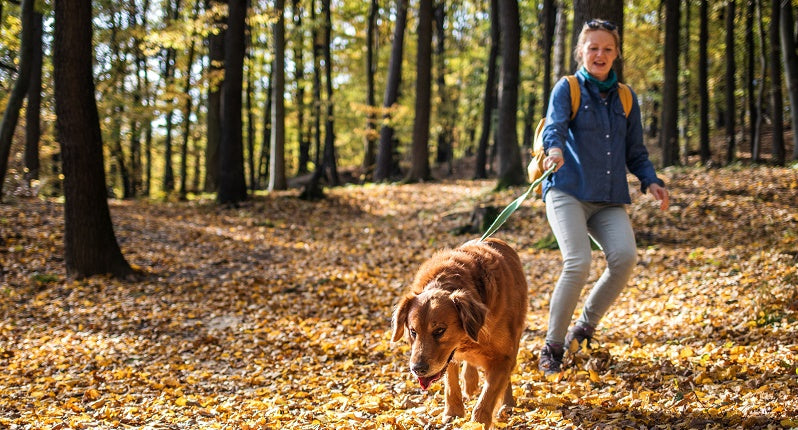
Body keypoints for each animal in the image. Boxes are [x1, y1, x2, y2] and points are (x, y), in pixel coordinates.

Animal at [390, 237, 528, 428]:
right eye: (413, 331)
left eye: (440, 330)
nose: (417, 369)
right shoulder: (447, 357)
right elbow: (451, 384)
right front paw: (453, 413)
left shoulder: (503, 356)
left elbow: (487, 397)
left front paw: (478, 423)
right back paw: (470, 382)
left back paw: (507, 404)